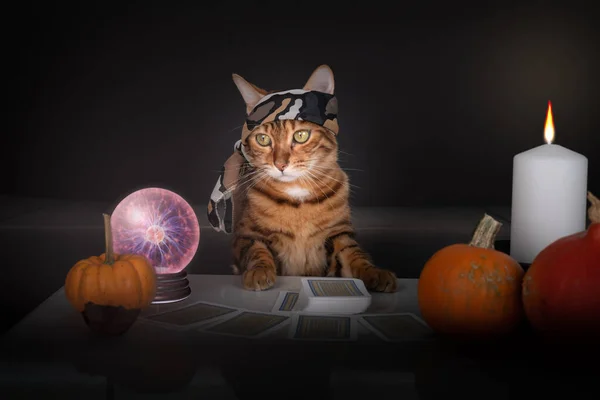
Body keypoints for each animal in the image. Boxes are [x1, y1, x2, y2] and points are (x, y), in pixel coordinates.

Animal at [227, 64, 396, 292]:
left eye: (301, 136)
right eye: (263, 139)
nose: (280, 165)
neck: (298, 198)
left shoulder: (339, 233)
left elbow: (355, 254)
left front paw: (374, 272)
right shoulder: (246, 234)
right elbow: (256, 251)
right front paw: (259, 272)